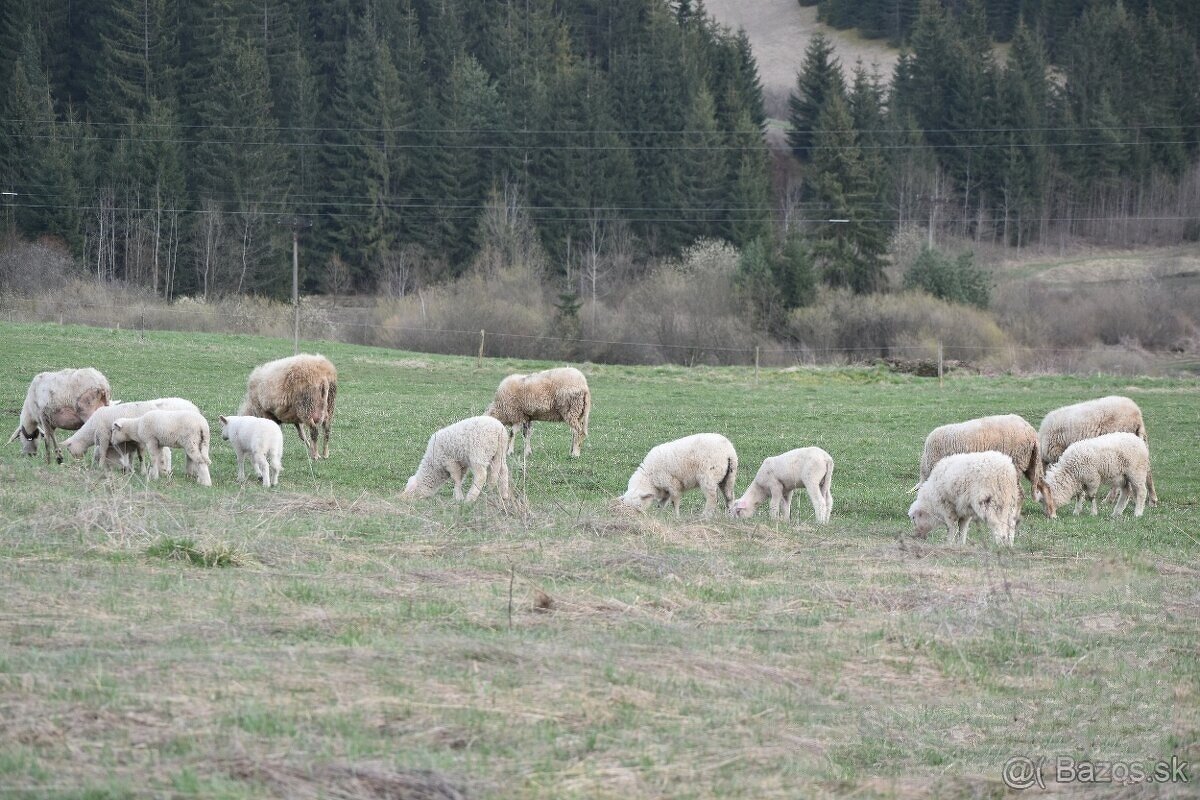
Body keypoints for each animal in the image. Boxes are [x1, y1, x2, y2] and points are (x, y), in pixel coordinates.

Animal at [62, 398, 198, 470]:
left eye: (69, 450)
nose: (77, 462)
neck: (91, 429)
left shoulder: (104, 435)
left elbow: (102, 452)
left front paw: (100, 466)